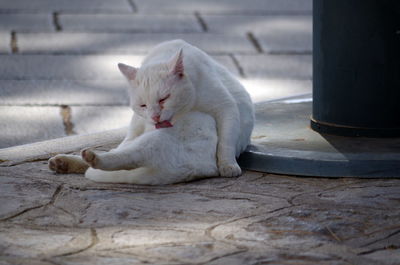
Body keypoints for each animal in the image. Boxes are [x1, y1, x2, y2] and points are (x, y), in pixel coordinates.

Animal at [48, 39, 255, 184]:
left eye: (163, 99)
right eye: (143, 105)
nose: (155, 117)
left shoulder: (225, 106)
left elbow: (226, 141)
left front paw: (228, 166)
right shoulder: (139, 121)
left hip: (153, 144)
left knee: (125, 157)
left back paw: (87, 159)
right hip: (146, 141)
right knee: (120, 152)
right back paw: (65, 162)